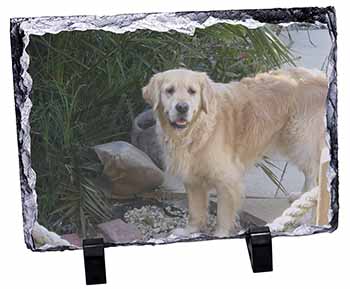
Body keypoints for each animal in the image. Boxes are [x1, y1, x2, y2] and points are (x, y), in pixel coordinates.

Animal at [142, 67, 328, 236]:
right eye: (169, 90)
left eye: (192, 91)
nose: (182, 107)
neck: (196, 131)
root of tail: (320, 76)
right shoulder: (192, 178)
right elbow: (195, 210)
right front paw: (190, 230)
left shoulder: (228, 179)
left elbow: (223, 213)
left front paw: (220, 235)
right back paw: (300, 198)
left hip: (301, 140)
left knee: (314, 176)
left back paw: (305, 214)